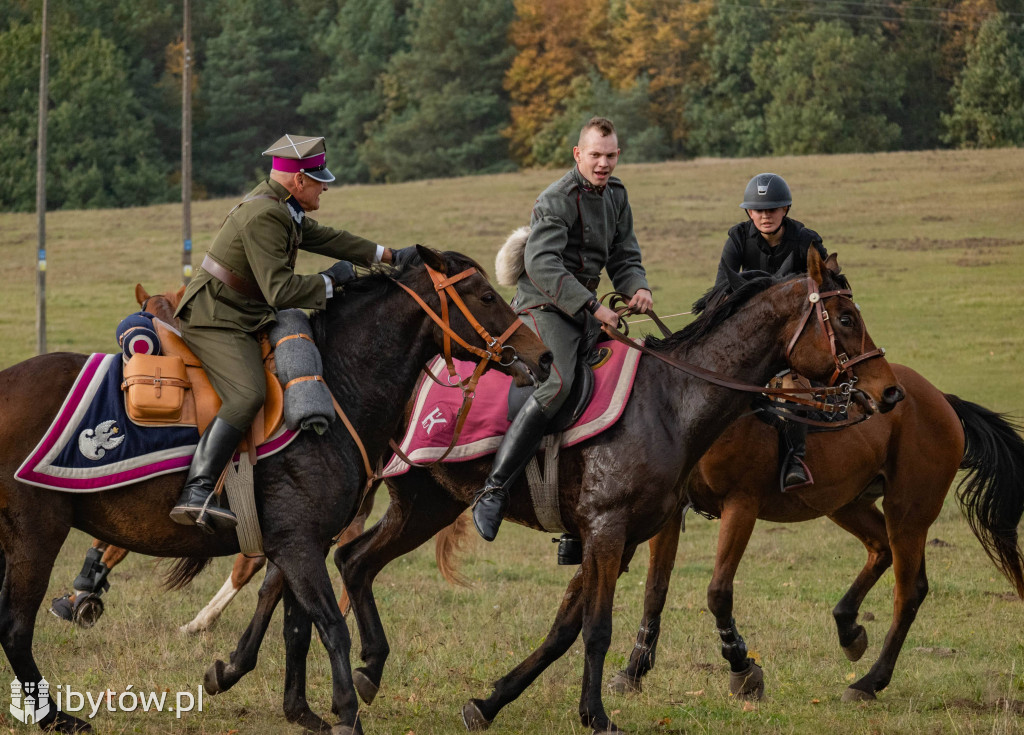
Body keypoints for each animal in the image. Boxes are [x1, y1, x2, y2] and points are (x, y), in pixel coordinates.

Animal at [0, 248, 552, 735]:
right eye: (485, 296)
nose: (543, 356)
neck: (336, 390)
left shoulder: (298, 545)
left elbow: (295, 628)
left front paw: (299, 710)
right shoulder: (299, 547)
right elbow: (327, 627)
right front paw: (345, 713)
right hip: (36, 536)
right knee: (16, 626)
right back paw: (56, 715)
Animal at [606, 362, 1024, 704]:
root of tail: (941, 399)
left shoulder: (741, 506)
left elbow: (718, 592)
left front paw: (744, 671)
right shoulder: (671, 513)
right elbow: (655, 590)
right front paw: (633, 671)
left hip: (907, 513)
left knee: (908, 592)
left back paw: (869, 682)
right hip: (845, 502)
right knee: (880, 548)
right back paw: (849, 628)